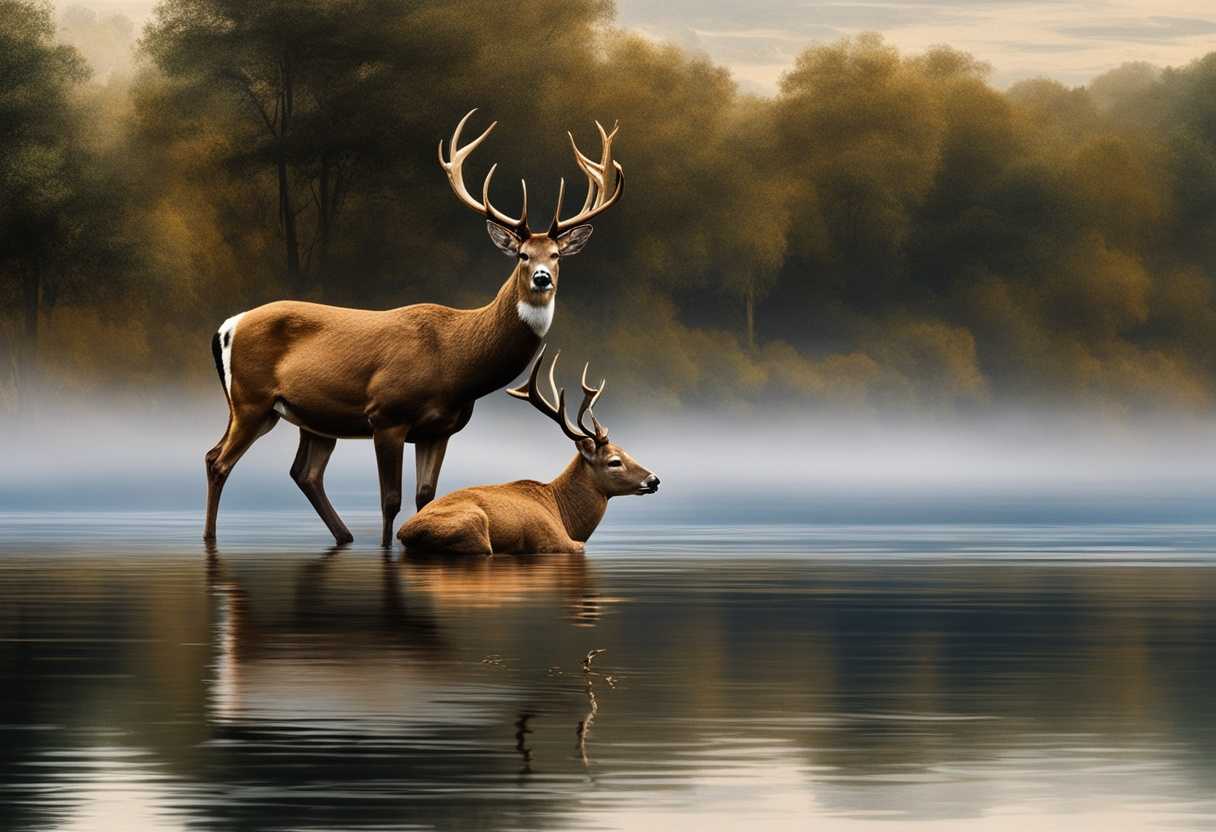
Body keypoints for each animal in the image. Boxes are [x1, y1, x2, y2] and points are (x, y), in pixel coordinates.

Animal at [204, 110, 624, 546]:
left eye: (556, 255)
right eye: (523, 255)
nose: (542, 279)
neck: (454, 360)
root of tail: (228, 326)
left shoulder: (438, 430)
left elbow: (426, 496)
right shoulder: (386, 414)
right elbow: (390, 499)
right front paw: (388, 547)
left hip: (313, 419)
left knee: (304, 473)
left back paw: (344, 536)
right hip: (251, 400)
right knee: (217, 460)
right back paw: (211, 538)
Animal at [397, 347, 660, 555]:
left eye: (627, 451)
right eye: (614, 461)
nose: (654, 479)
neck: (564, 515)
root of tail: (403, 532)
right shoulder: (558, 542)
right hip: (474, 525)